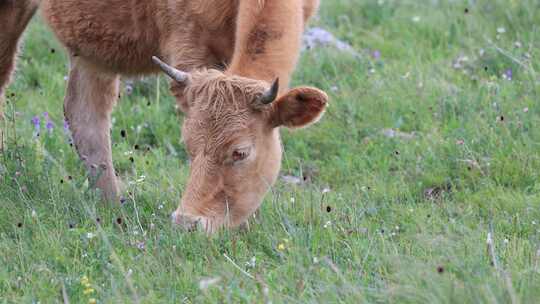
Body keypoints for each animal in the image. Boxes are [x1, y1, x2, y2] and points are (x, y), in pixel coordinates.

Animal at [0, 0, 330, 233]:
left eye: (240, 152)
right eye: (189, 146)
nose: (187, 222)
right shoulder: (188, 43)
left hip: (90, 53)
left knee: (85, 112)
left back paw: (113, 205)